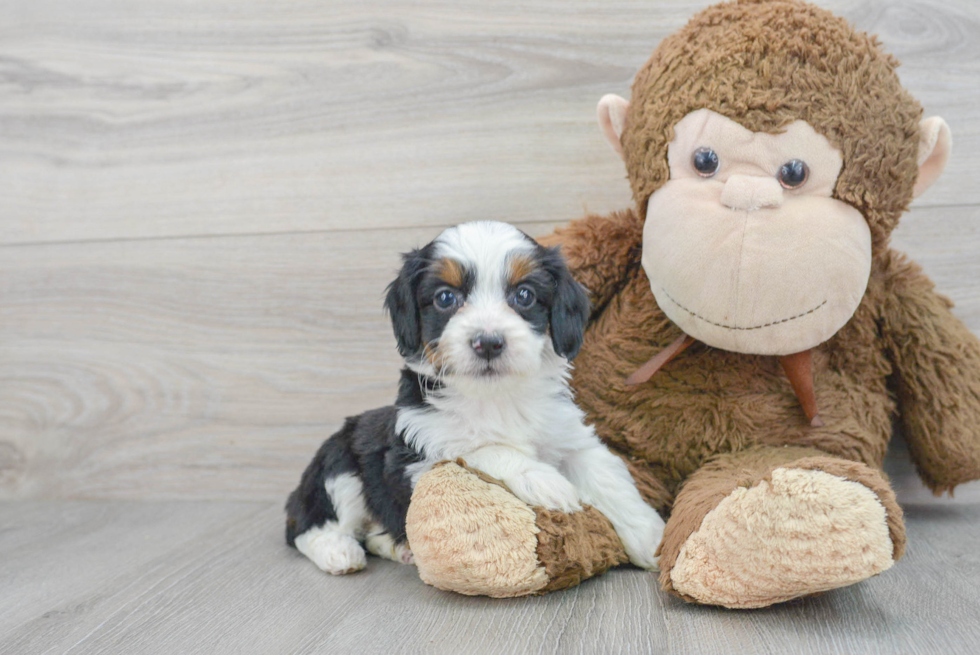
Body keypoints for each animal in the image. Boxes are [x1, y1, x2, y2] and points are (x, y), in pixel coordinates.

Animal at [286, 220, 668, 576]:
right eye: (445, 298)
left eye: (524, 296)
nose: (488, 342)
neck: (496, 396)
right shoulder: (427, 452)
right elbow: (484, 449)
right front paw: (543, 479)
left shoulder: (571, 438)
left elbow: (607, 478)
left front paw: (652, 538)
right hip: (338, 467)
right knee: (307, 526)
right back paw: (338, 552)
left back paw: (398, 548)